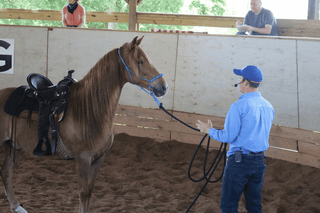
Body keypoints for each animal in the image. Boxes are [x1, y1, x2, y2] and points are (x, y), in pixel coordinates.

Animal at [0, 35, 168, 212]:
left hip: (13, 146)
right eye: (140, 61)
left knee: (6, 173)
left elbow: (89, 192)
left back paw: (16, 206)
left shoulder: (97, 160)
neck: (89, 109)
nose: (163, 87)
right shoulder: (83, 159)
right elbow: (83, 192)